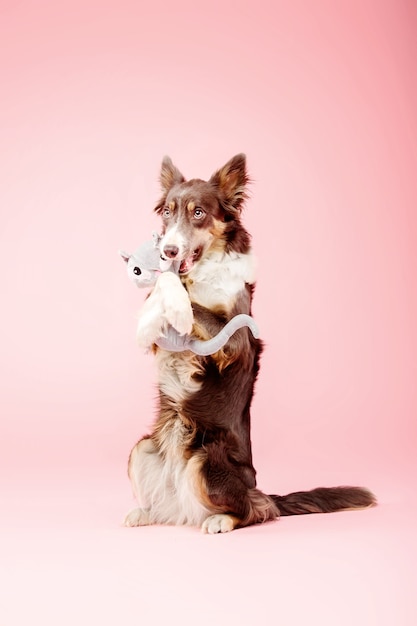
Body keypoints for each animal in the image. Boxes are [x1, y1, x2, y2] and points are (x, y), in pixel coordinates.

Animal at [122, 155, 374, 532]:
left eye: (199, 213)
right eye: (167, 212)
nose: (168, 250)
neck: (200, 272)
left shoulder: (236, 338)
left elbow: (182, 294)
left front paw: (179, 306)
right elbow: (161, 293)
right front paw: (149, 319)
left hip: (206, 459)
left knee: (254, 510)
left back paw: (223, 519)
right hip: (142, 450)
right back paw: (146, 512)